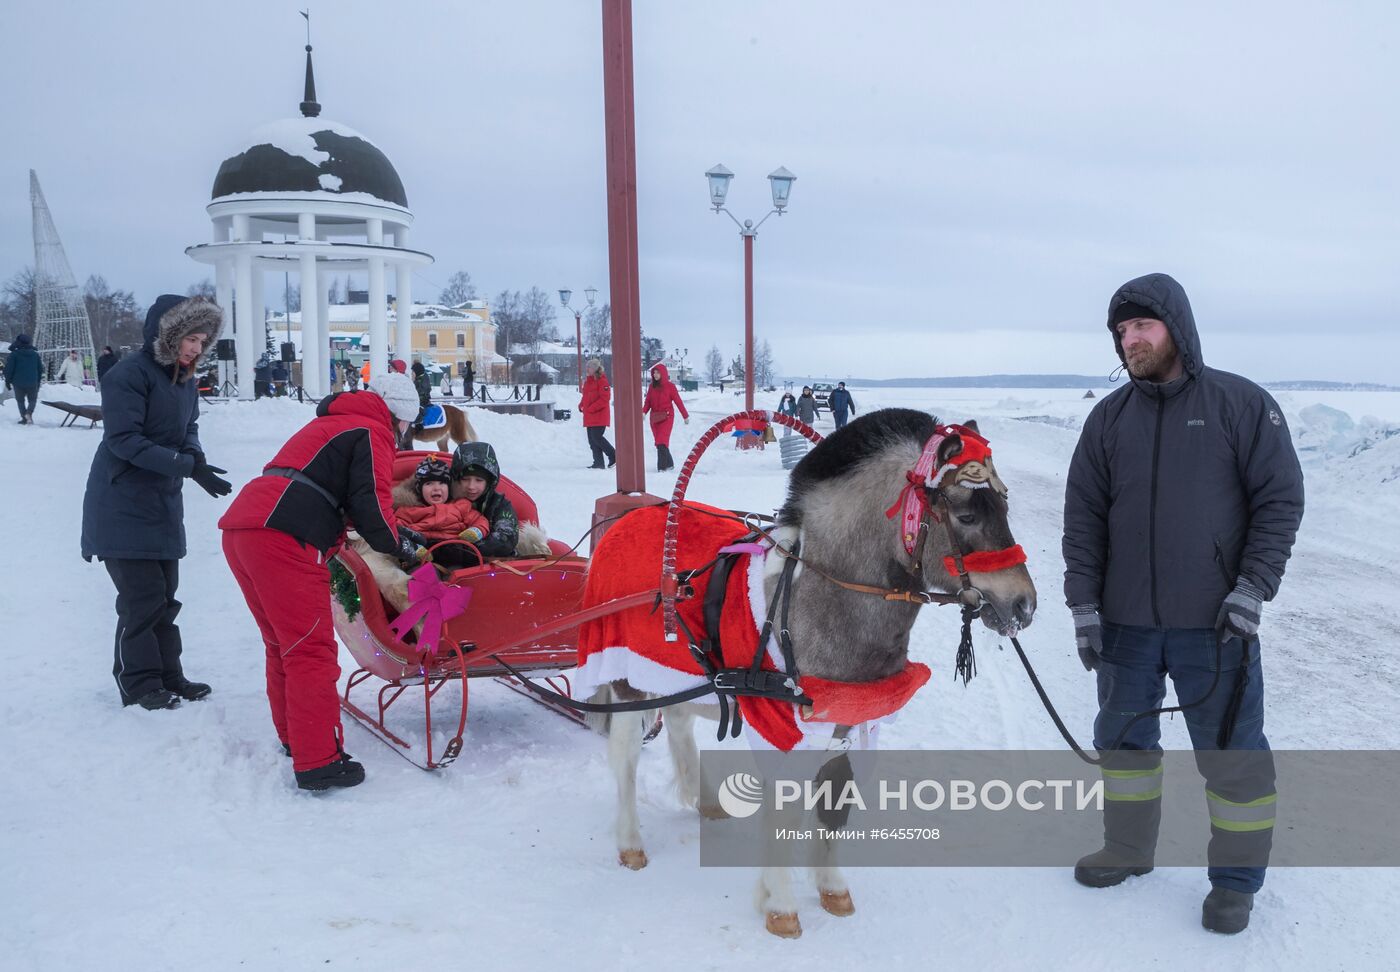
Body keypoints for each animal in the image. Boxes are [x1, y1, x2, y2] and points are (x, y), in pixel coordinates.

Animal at [574, 406, 1036, 941]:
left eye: (1004, 505)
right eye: (965, 515)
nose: (1024, 605)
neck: (823, 593)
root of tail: (626, 520)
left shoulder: (850, 721)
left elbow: (834, 808)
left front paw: (832, 889)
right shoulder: (783, 727)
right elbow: (785, 810)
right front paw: (780, 906)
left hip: (679, 675)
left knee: (681, 723)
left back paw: (705, 800)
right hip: (628, 679)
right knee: (626, 757)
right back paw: (630, 843)